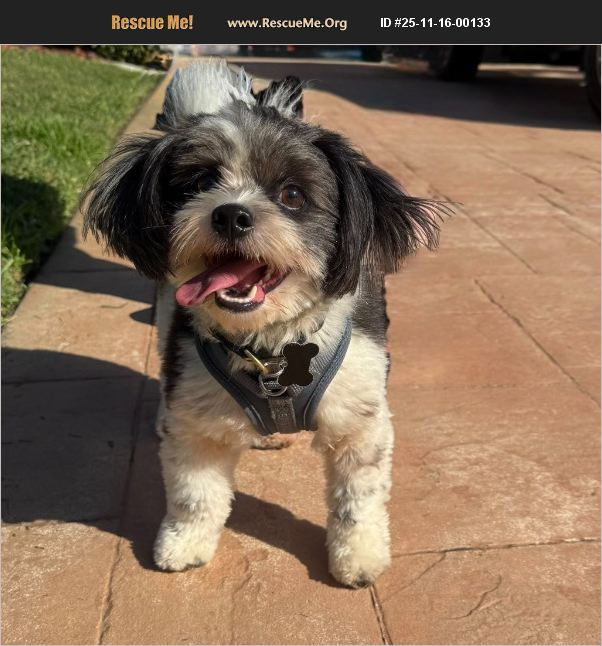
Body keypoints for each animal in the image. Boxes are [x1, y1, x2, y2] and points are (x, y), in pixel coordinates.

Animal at [81, 59, 444, 587]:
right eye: (198, 183)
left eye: (291, 194)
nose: (231, 213)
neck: (270, 347)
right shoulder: (197, 418)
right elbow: (195, 492)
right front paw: (184, 542)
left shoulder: (361, 420)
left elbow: (358, 498)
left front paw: (358, 556)